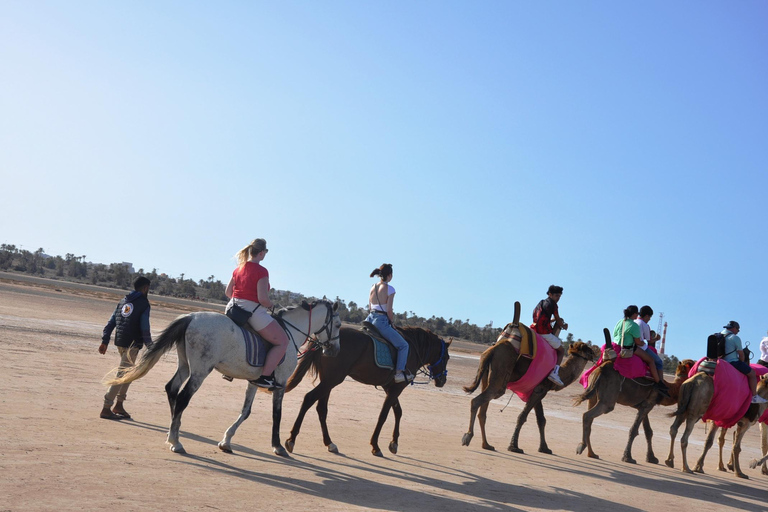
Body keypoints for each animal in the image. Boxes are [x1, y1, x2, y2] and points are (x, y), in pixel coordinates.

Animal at [106, 300, 340, 456]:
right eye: (338, 325)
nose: (334, 350)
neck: (291, 332)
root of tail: (191, 316)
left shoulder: (254, 382)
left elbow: (245, 412)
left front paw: (226, 440)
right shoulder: (280, 384)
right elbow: (277, 415)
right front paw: (278, 445)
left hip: (185, 366)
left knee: (171, 389)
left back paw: (173, 431)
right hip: (200, 371)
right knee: (182, 398)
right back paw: (176, 440)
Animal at [284, 324, 450, 456]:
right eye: (447, 357)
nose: (442, 381)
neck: (413, 347)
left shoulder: (389, 387)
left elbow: (398, 411)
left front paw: (394, 443)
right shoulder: (397, 388)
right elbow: (383, 415)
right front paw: (375, 445)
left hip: (328, 381)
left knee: (321, 409)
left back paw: (329, 443)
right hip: (332, 380)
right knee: (309, 399)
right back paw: (291, 439)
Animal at [460, 300, 596, 452]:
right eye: (586, 348)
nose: (595, 352)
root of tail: (495, 347)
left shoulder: (537, 389)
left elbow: (541, 419)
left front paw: (544, 448)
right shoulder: (541, 389)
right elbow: (523, 416)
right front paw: (514, 446)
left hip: (487, 373)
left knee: (483, 411)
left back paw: (487, 444)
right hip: (501, 371)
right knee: (478, 400)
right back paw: (467, 436)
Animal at [576, 330, 696, 466]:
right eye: (692, 365)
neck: (669, 388)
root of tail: (601, 367)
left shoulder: (645, 405)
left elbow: (648, 431)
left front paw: (652, 458)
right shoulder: (648, 404)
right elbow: (634, 430)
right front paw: (628, 457)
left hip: (593, 394)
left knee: (590, 417)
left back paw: (592, 453)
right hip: (608, 398)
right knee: (589, 415)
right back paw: (582, 447)